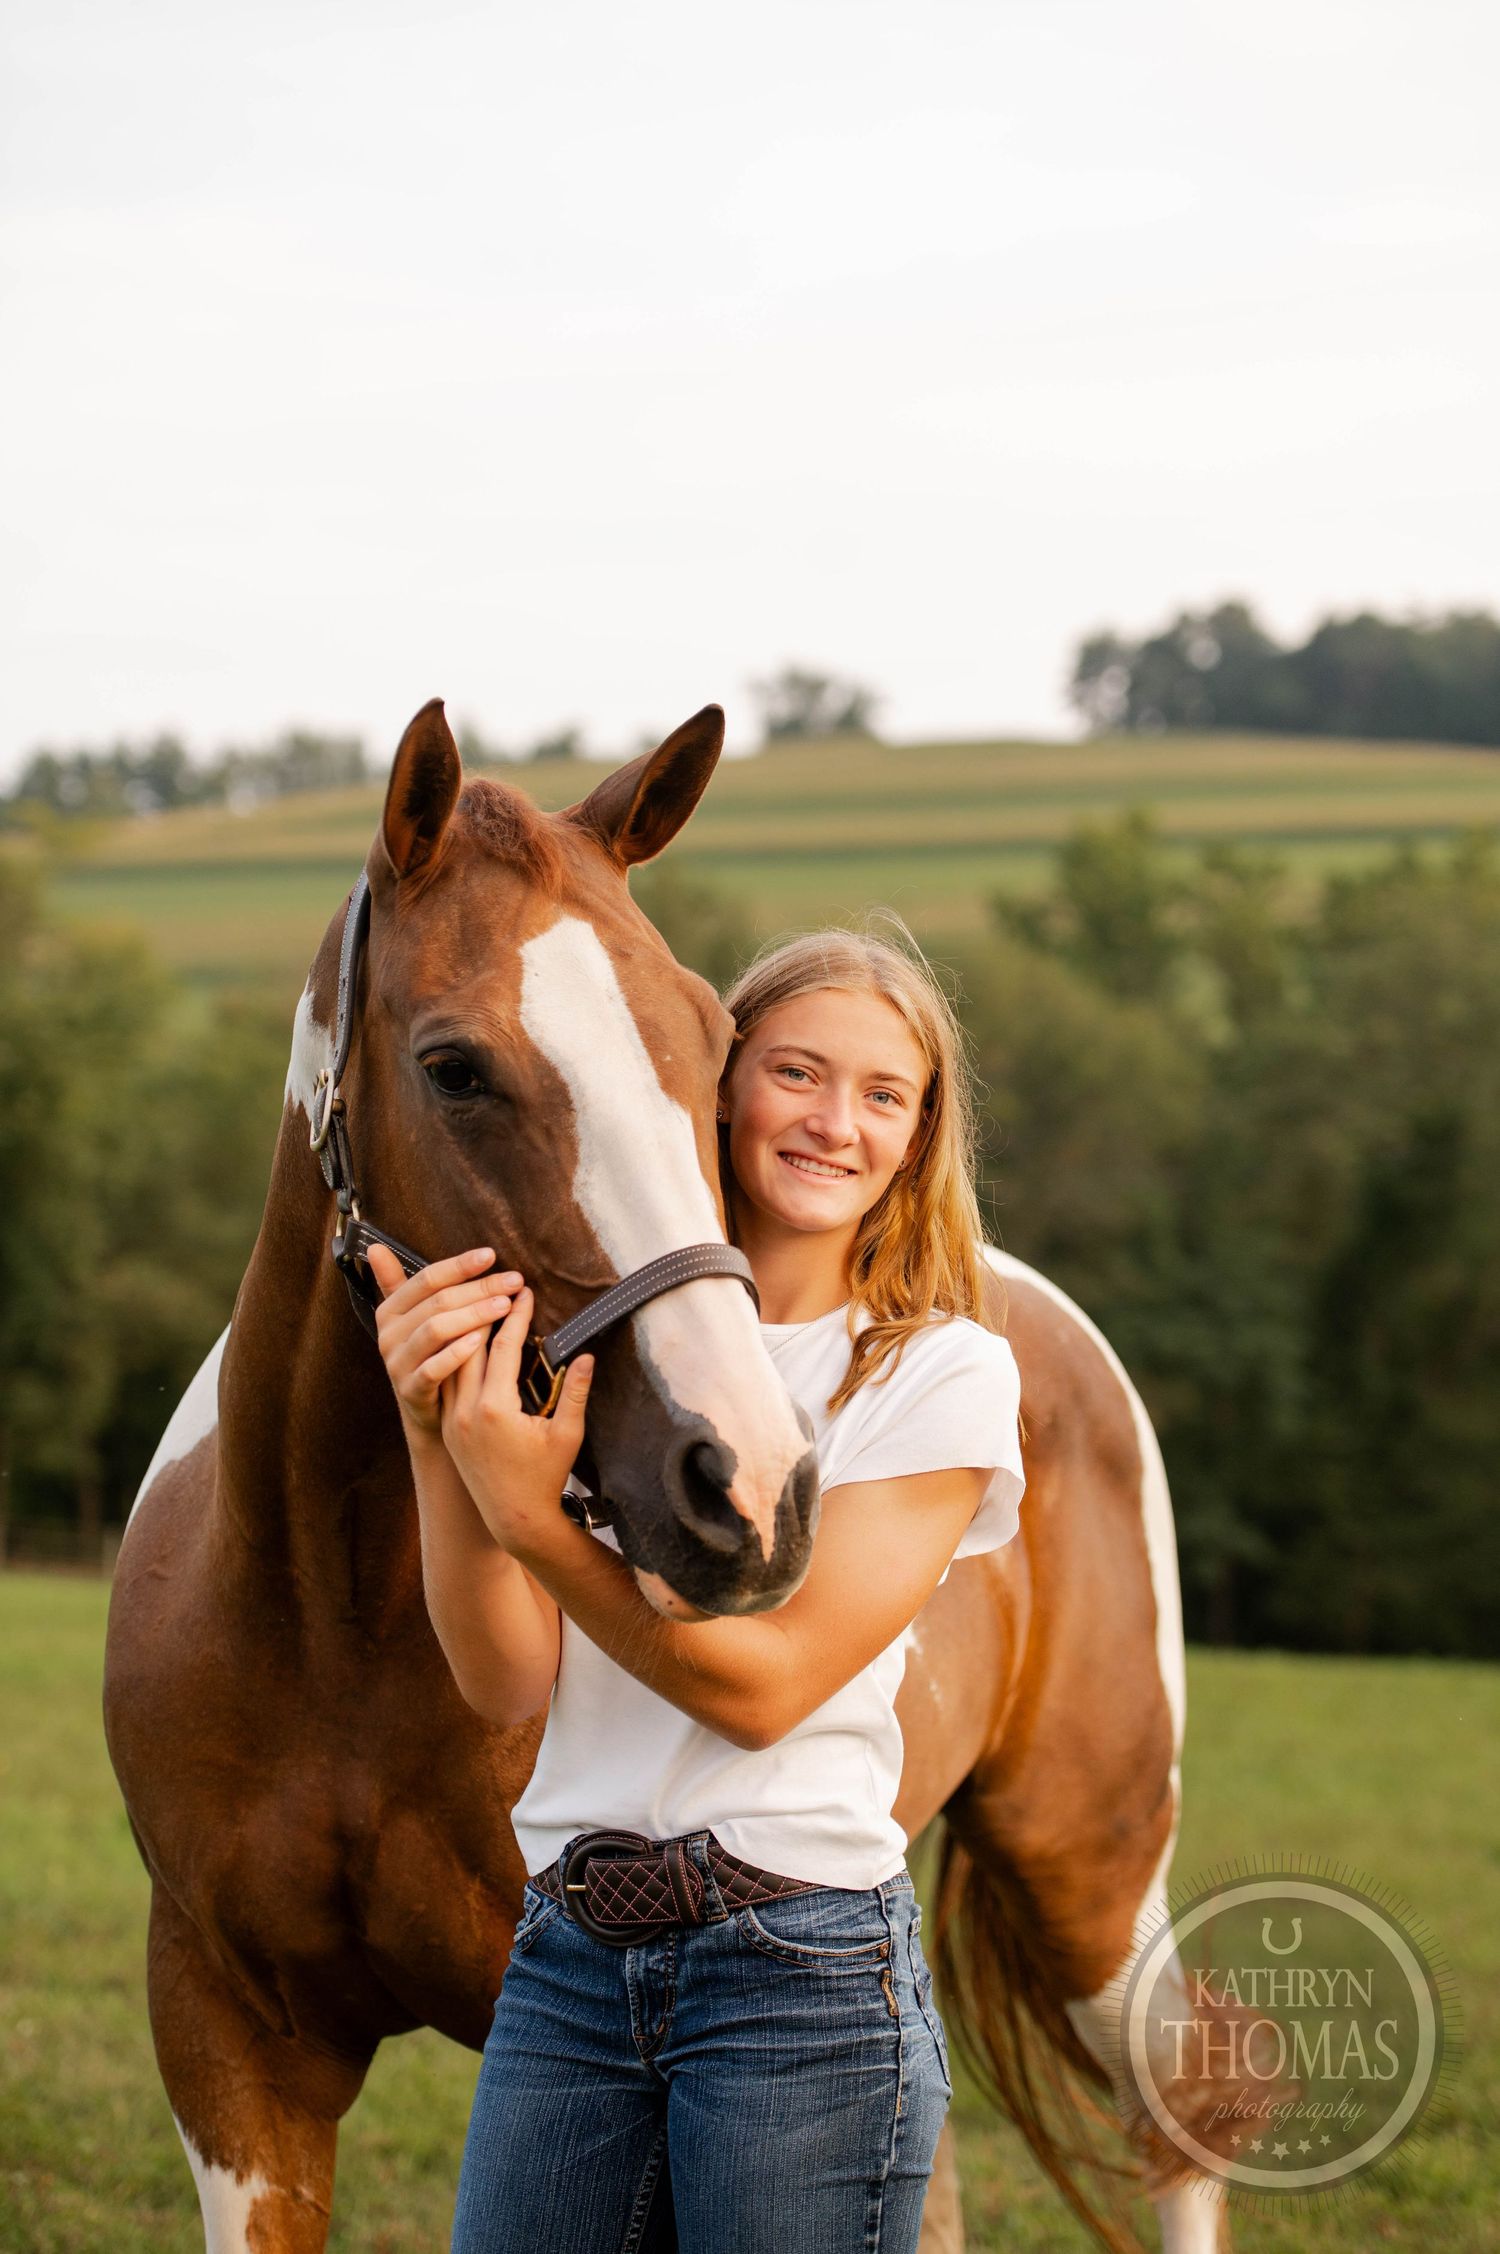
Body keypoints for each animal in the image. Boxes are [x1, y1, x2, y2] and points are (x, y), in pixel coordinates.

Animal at [104, 699, 1237, 2254]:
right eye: (454, 1066)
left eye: (714, 1046)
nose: (750, 1490)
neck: (323, 1610)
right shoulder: (230, 2046)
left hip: (1094, 1876)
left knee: (1183, 2111)